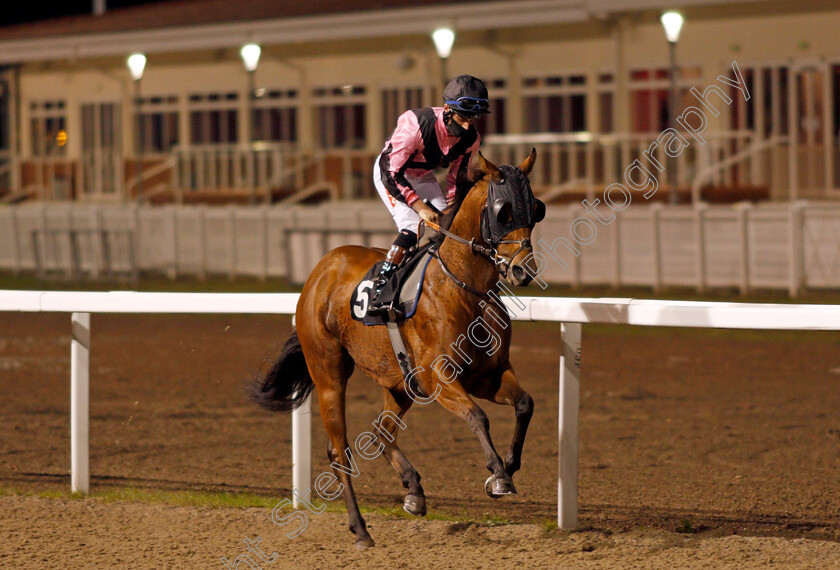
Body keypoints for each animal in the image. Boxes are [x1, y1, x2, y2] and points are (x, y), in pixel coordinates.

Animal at [248, 148, 544, 544]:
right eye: (503, 212)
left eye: (535, 208)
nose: (523, 270)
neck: (463, 286)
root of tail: (320, 270)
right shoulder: (439, 378)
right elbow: (477, 416)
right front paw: (498, 475)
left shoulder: (488, 374)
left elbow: (524, 404)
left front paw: (508, 466)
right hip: (329, 374)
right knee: (339, 450)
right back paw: (361, 529)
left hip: (400, 382)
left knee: (380, 432)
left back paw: (413, 490)